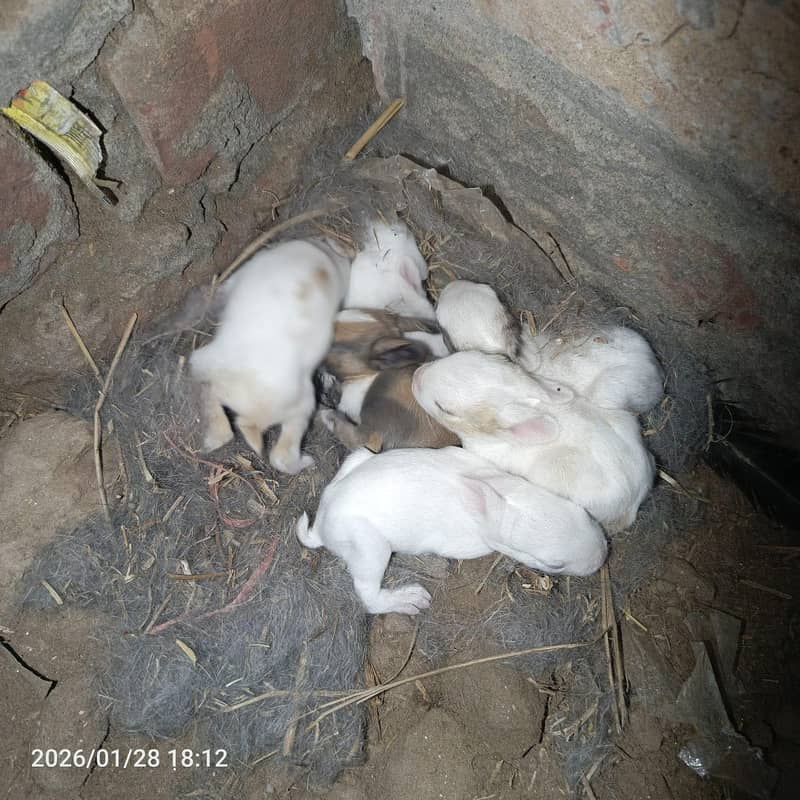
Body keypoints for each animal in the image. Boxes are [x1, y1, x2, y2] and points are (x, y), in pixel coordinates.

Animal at [296, 446, 607, 614]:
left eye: (583, 512)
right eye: (554, 564)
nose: (604, 555)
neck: (503, 489)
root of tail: (322, 524)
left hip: (359, 455)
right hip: (370, 547)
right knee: (368, 595)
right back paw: (409, 600)